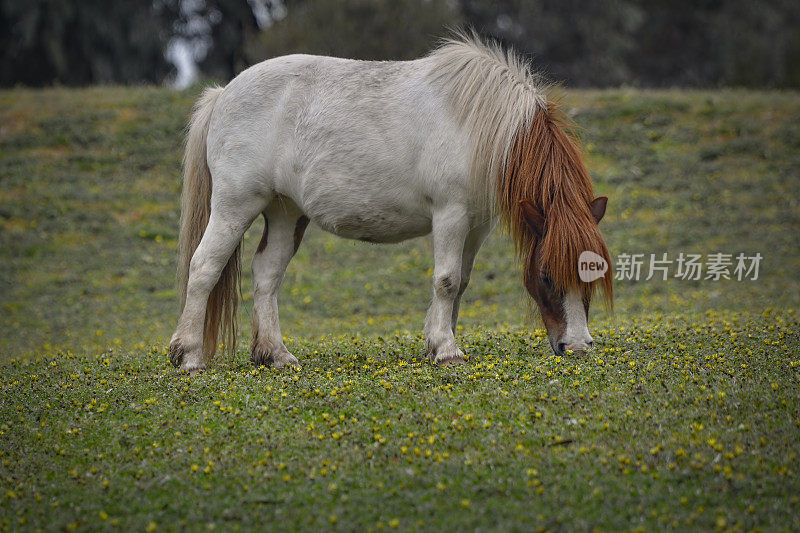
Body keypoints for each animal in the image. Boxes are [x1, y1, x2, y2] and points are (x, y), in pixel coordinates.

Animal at [167, 35, 612, 372]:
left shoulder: (476, 225)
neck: (479, 125)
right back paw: (189, 355)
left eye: (593, 274)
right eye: (547, 276)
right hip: (235, 206)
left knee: (266, 275)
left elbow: (461, 283)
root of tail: (223, 93)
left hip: (285, 213)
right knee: (203, 267)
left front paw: (439, 341)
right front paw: (446, 350)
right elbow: (446, 280)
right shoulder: (450, 214)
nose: (576, 346)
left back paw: (275, 354)